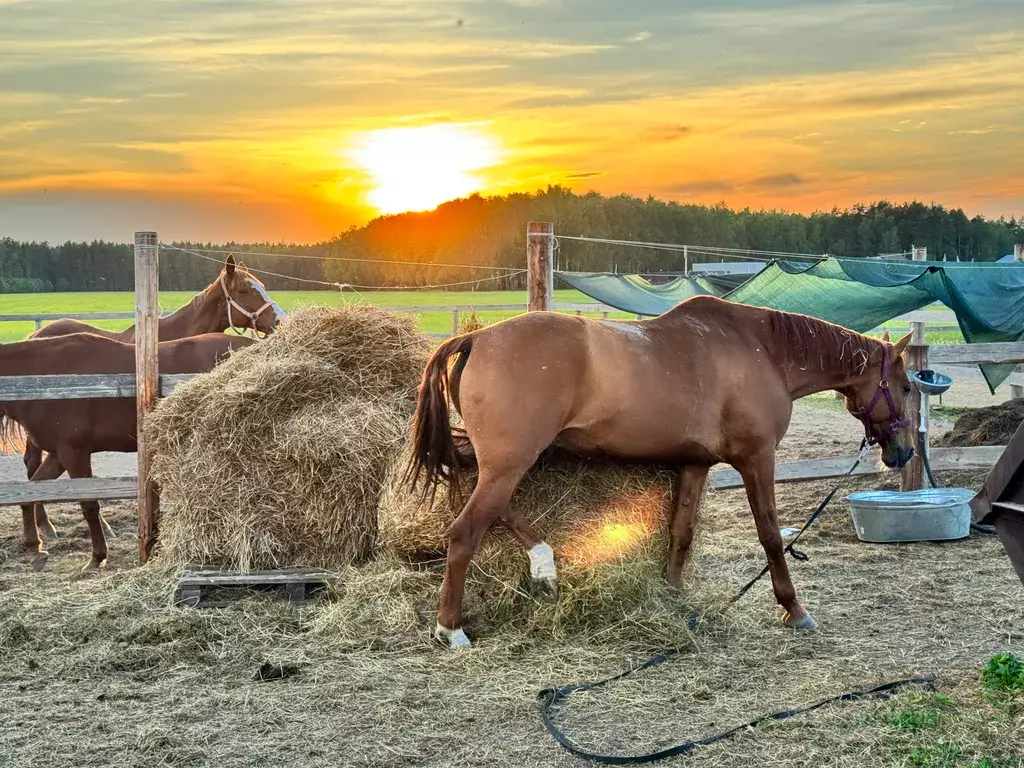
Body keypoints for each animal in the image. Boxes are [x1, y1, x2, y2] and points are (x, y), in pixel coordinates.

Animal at [0, 331, 253, 573]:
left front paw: (97, 557)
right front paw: (34, 546)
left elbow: (88, 506)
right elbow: (31, 493)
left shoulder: (74, 452)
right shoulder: (59, 455)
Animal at [403, 296, 917, 651]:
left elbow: (681, 531)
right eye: (908, 386)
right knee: (465, 532)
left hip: (503, 463)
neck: (761, 351)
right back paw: (451, 628)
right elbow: (771, 536)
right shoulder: (757, 459)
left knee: (493, 507)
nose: (904, 451)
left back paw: (544, 565)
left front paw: (672, 595)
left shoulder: (694, 465)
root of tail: (477, 338)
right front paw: (794, 608)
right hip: (510, 464)